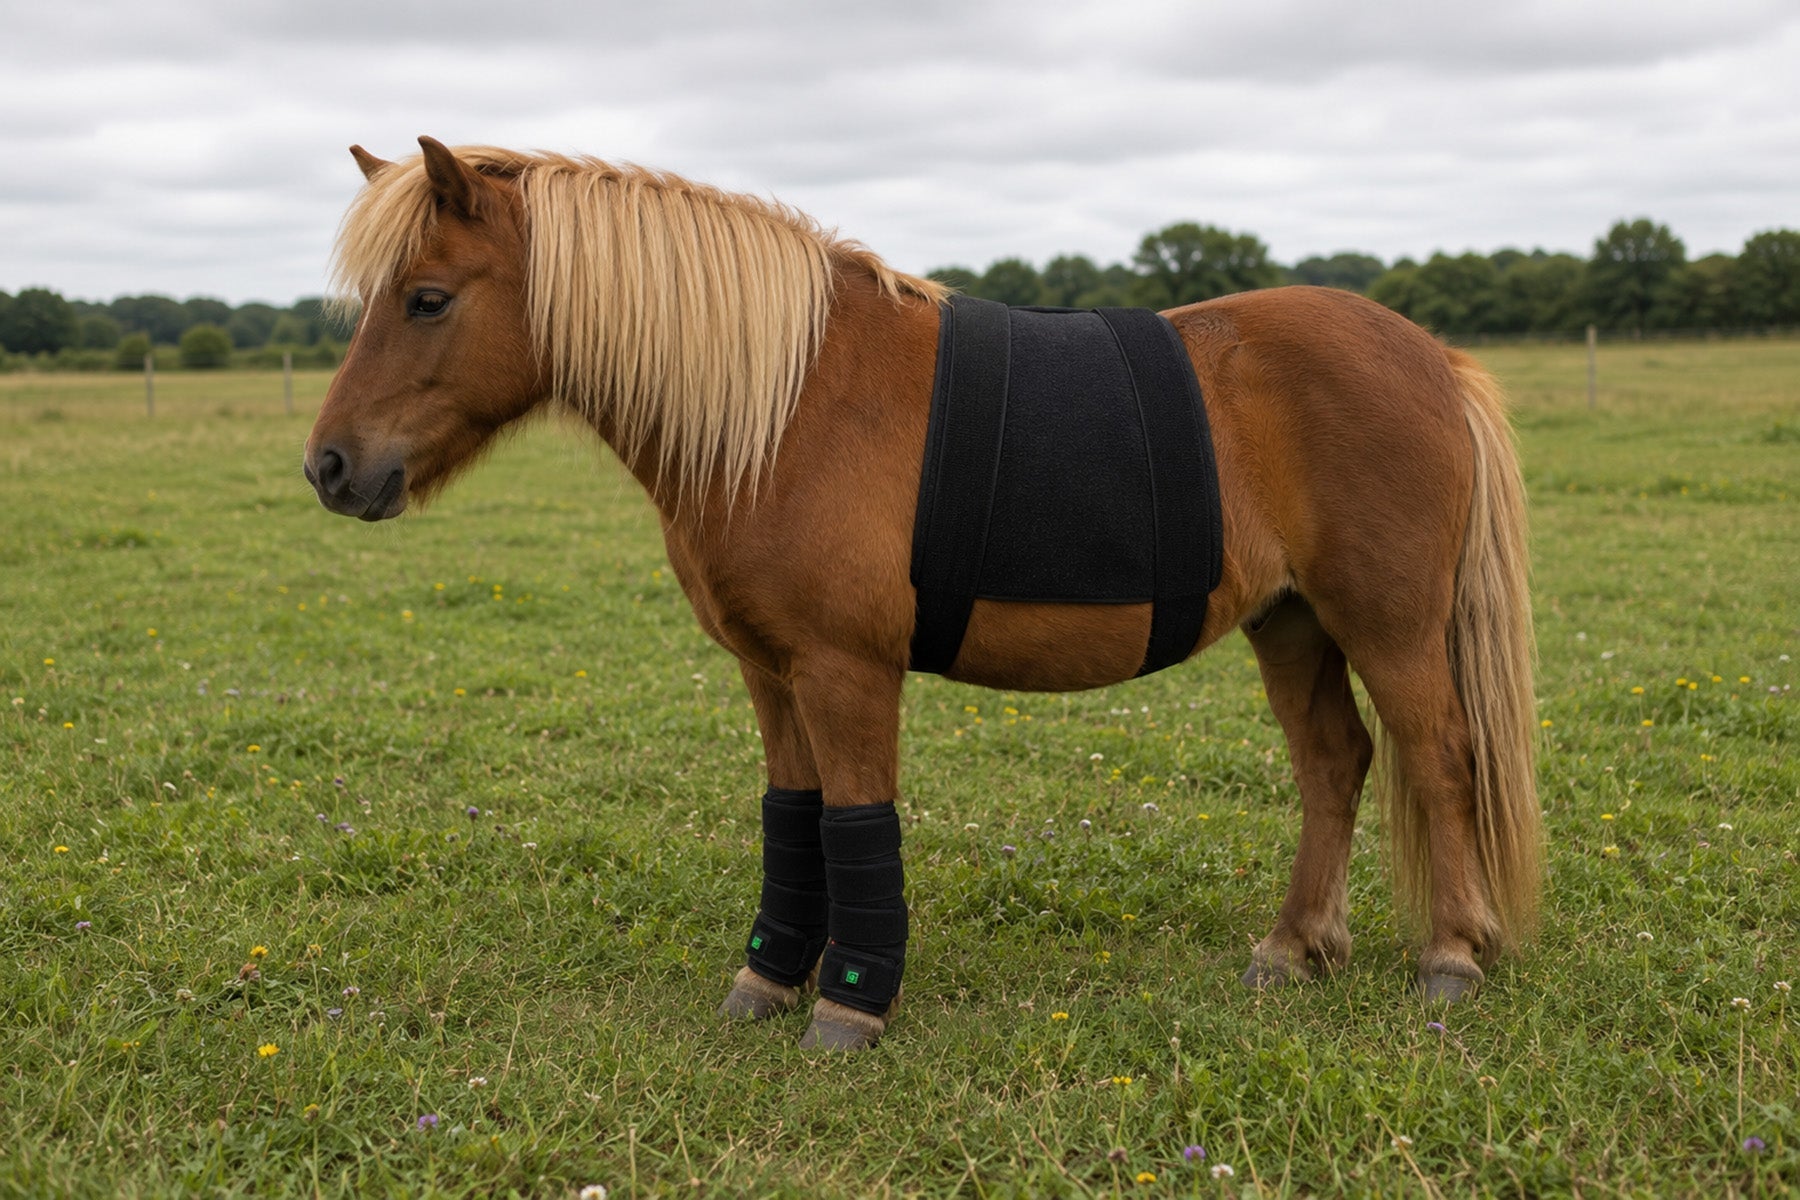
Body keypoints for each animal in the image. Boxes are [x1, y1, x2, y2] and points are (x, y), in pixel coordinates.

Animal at [304, 137, 1541, 1051]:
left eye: (426, 299)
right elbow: (792, 818)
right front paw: (767, 983)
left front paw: (850, 1005)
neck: (789, 404)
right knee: (1335, 763)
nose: (329, 467)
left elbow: (856, 821)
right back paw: (1294, 948)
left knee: (1439, 754)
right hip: (1291, 623)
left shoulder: (848, 671)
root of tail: (1434, 357)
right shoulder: (772, 672)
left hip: (1388, 624)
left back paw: (1449, 958)